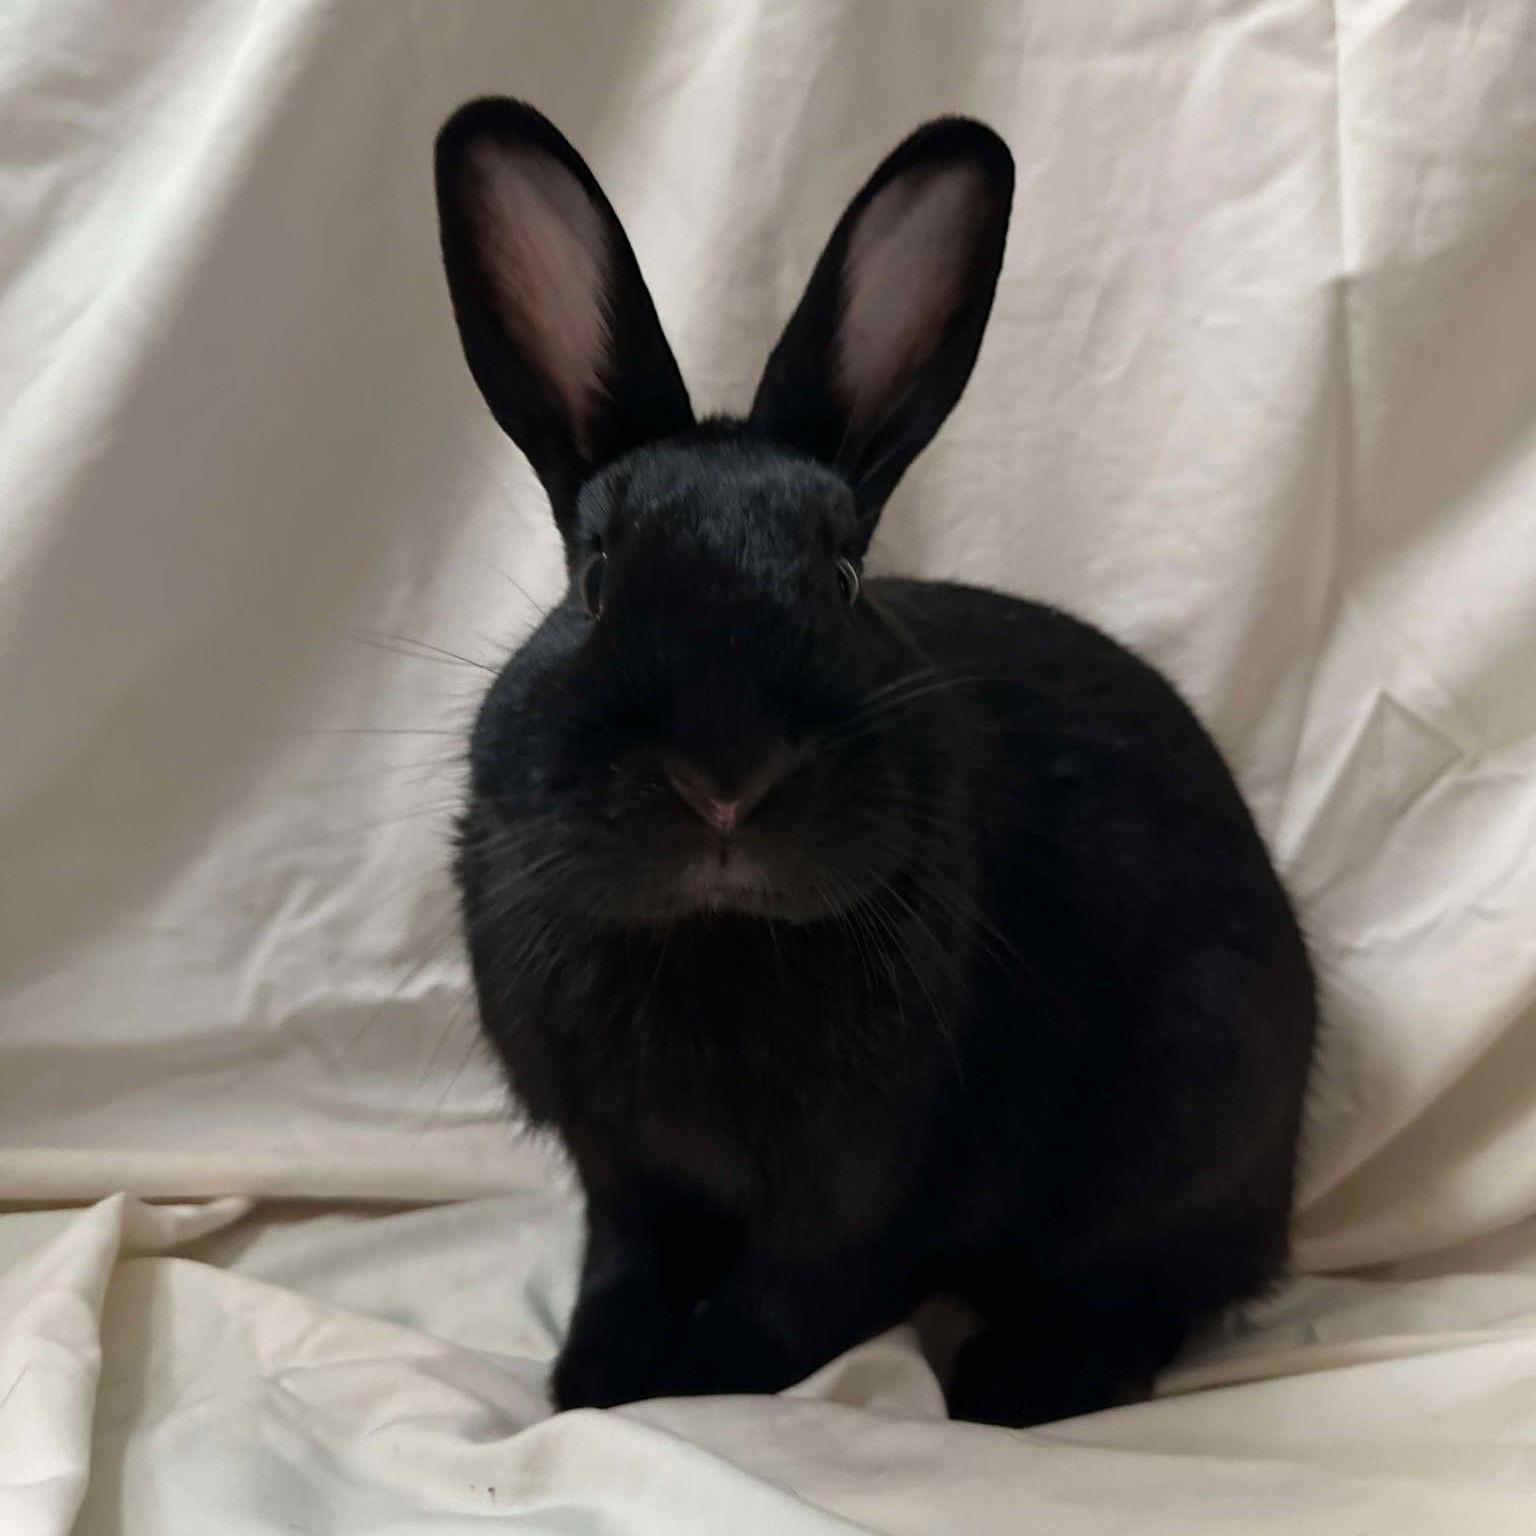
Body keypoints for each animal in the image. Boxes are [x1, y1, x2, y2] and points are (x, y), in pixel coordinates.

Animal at [435, 97, 1318, 1428]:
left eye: (845, 576)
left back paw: (1021, 1384)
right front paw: (594, 1380)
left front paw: (701, 1382)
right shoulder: (626, 1166)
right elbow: (626, 1261)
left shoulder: (864, 1172)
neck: (718, 936)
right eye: (594, 582)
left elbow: (799, 1289)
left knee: (1153, 1284)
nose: (727, 777)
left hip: (1194, 1118)